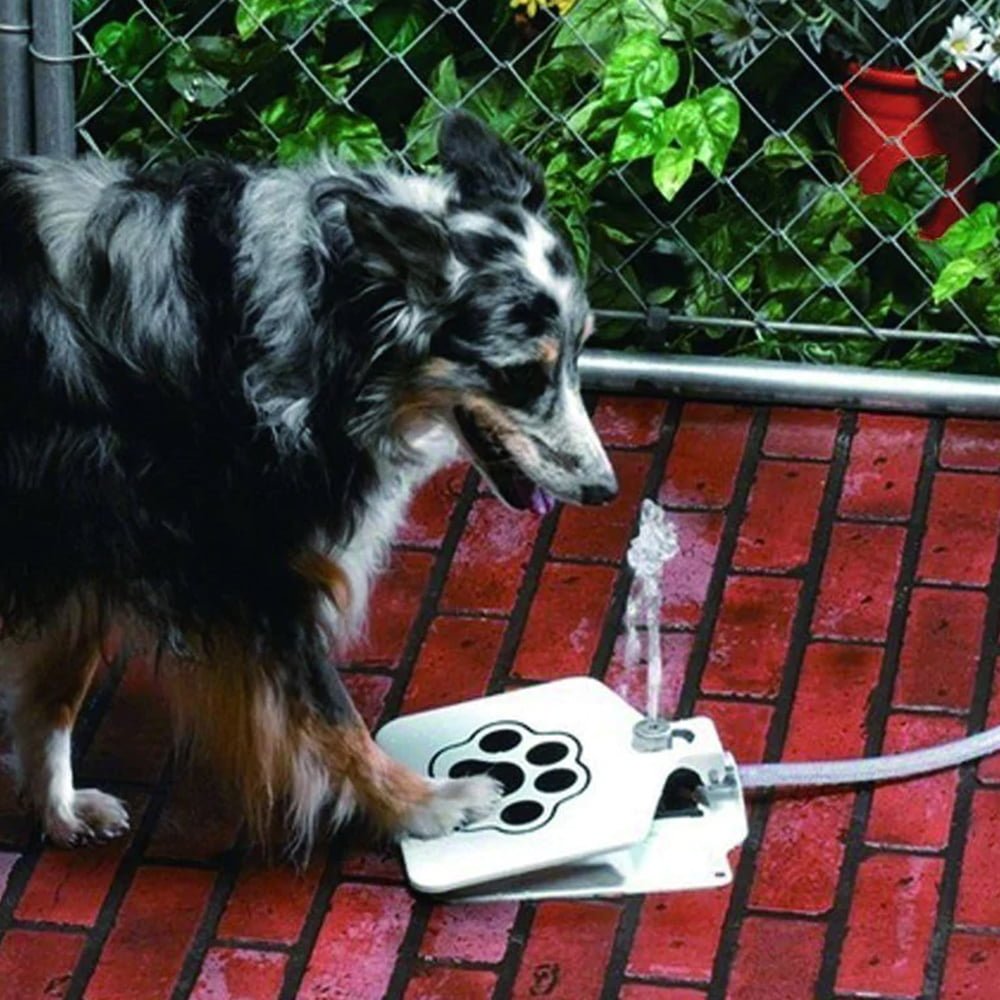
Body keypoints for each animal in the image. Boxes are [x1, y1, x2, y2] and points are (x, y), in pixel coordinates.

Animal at [0, 115, 616, 852]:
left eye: (581, 352)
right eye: (521, 374)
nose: (605, 490)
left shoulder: (90, 535)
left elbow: (54, 691)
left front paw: (58, 808)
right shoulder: (242, 570)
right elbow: (332, 714)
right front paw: (420, 804)